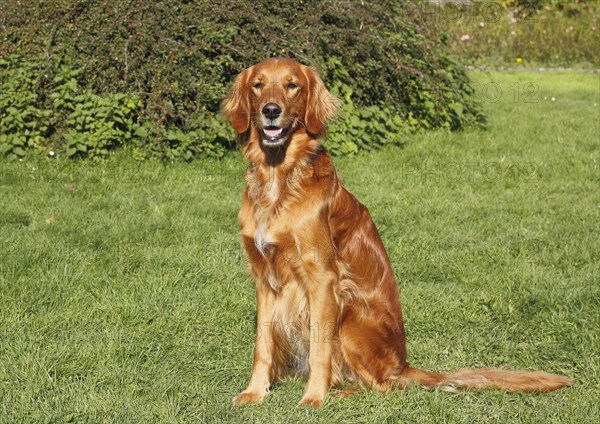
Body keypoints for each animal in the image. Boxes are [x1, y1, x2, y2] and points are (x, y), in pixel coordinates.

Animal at [220, 57, 572, 408]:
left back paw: (342, 392)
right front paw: (255, 391)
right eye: (258, 85)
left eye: (292, 85)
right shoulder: (265, 278)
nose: (271, 110)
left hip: (350, 314)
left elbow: (320, 350)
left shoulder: (322, 276)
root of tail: (403, 363)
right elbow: (262, 344)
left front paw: (313, 399)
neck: (278, 180)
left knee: (384, 386)